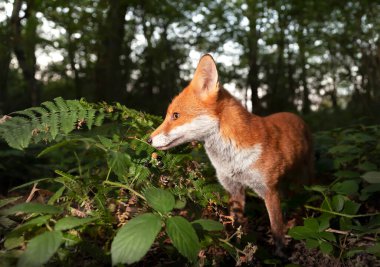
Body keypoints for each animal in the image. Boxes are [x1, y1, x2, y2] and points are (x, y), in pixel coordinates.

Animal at [148, 54, 312, 251]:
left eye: (176, 116)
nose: (148, 140)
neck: (232, 161)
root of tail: (295, 116)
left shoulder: (268, 190)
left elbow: (276, 229)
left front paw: (280, 253)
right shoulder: (234, 189)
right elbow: (237, 224)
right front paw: (237, 246)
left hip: (303, 181)